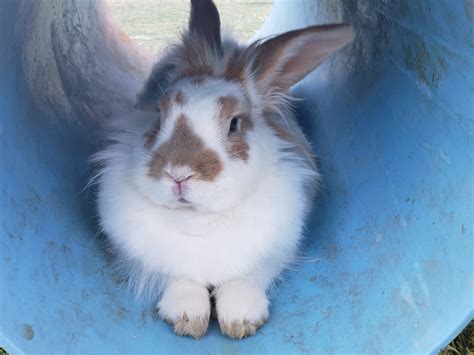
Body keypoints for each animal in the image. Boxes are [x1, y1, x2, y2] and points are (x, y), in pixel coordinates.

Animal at [93, 0, 352, 340]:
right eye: (159, 114)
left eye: (234, 124)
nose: (179, 174)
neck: (198, 221)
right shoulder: (145, 255)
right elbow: (179, 277)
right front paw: (187, 317)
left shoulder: (276, 249)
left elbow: (248, 278)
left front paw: (242, 320)